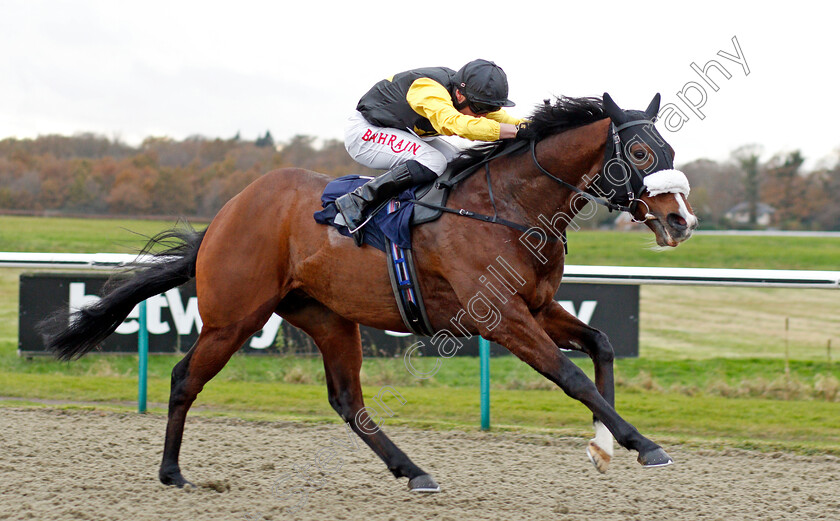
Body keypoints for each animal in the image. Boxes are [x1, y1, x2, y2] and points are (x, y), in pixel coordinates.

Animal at [39, 92, 696, 492]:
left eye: (670, 150)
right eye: (641, 151)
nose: (679, 220)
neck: (507, 205)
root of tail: (228, 212)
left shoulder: (536, 306)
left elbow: (602, 344)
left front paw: (605, 448)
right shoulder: (500, 317)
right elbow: (573, 376)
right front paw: (643, 444)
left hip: (328, 317)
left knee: (347, 401)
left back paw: (413, 471)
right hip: (234, 316)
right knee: (183, 379)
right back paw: (173, 473)